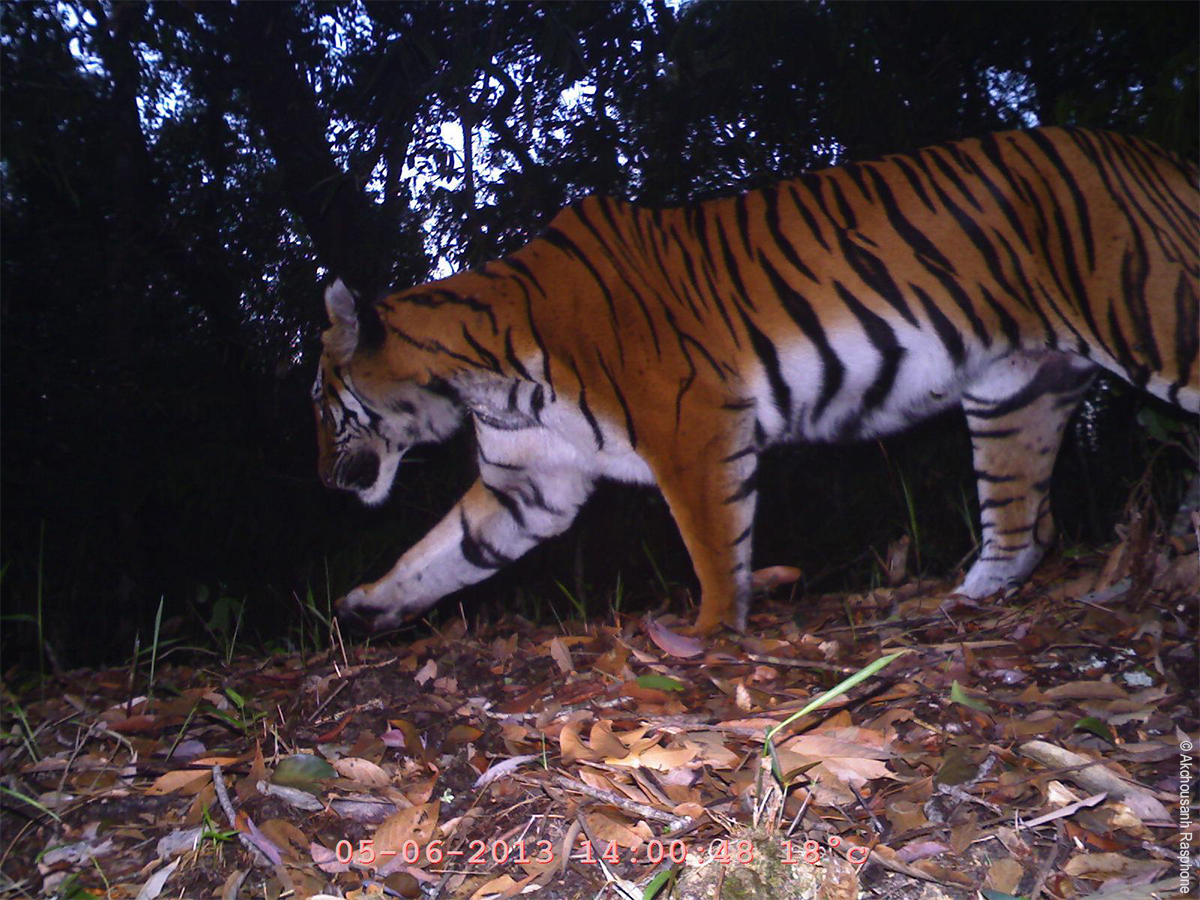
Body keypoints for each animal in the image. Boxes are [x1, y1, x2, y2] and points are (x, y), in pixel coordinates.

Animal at [312, 127, 1200, 638]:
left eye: (324, 405)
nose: (326, 480)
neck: (478, 382)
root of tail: (1145, 147)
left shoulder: (691, 427)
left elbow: (712, 544)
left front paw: (708, 635)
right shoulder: (529, 481)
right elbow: (442, 551)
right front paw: (365, 604)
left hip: (1150, 315)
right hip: (1013, 390)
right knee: (1021, 524)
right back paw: (962, 600)